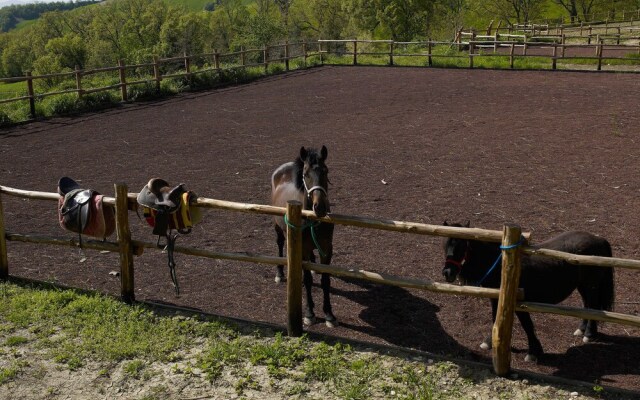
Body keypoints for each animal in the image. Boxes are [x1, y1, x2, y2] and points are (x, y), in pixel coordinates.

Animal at [268, 145, 336, 326]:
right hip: (278, 227)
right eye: (305, 174)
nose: (319, 206)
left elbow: (325, 279)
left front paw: (329, 314)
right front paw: (309, 313)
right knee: (280, 243)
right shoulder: (303, 248)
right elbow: (306, 280)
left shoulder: (327, 248)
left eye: (325, 171)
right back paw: (280, 274)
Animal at [440, 220, 616, 364]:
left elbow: (527, 325)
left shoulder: (519, 303)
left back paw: (589, 333)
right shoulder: (496, 299)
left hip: (591, 285)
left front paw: (533, 352)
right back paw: (581, 329)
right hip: (583, 285)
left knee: (593, 305)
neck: (502, 267)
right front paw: (490, 342)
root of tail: (599, 239)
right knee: (587, 305)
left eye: (462, 245)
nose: (447, 272)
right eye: (445, 245)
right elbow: (495, 319)